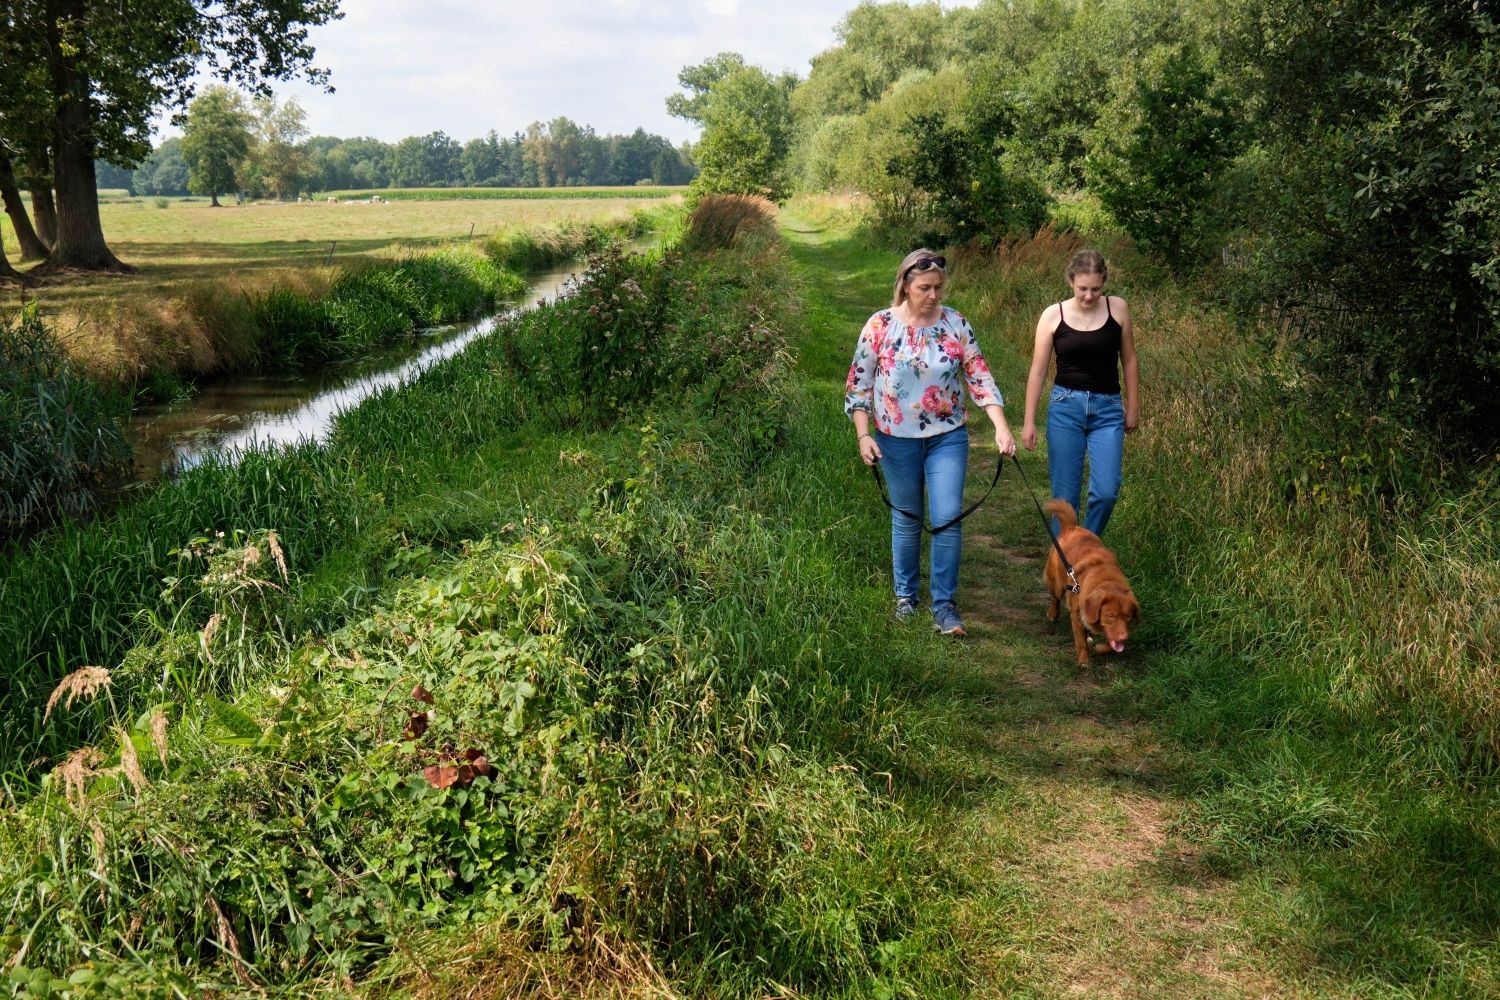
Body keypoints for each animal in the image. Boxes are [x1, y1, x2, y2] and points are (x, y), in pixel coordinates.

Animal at [1044, 497, 1134, 665]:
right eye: (1110, 616)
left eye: (1128, 616)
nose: (1124, 637)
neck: (1105, 580)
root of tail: (1072, 527)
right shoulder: (1077, 613)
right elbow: (1080, 639)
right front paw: (1084, 661)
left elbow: (1111, 643)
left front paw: (1100, 648)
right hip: (1057, 584)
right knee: (1055, 598)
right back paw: (1053, 614)